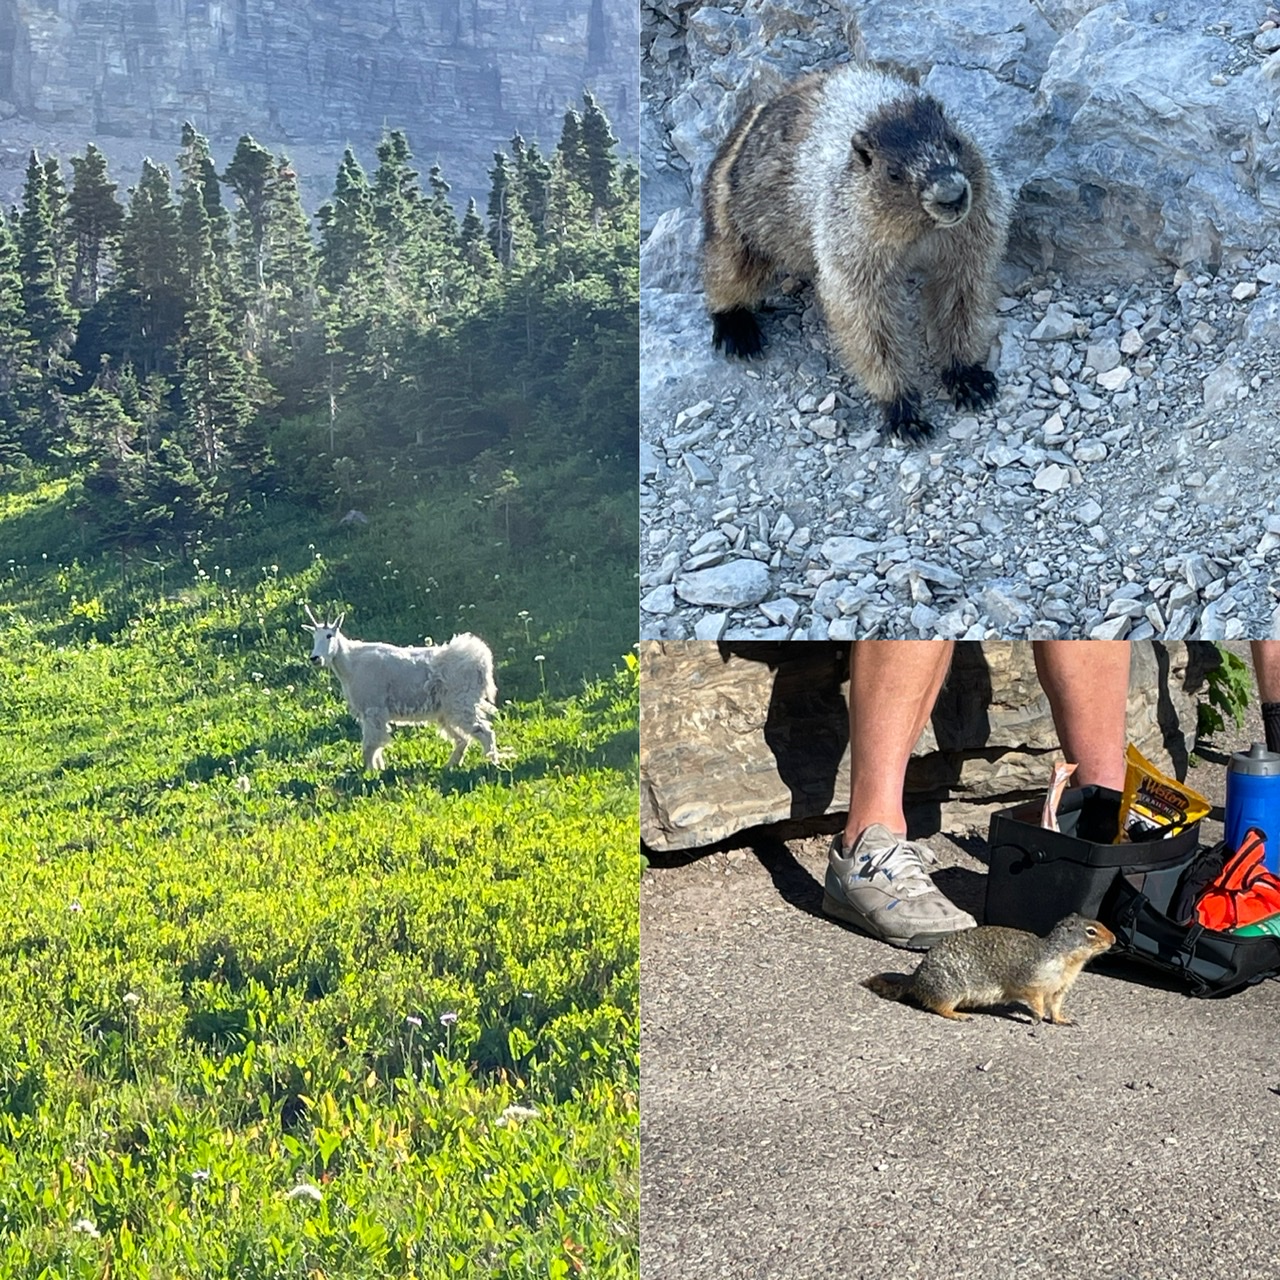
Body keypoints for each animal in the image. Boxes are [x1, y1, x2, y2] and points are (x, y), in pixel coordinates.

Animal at [303, 606, 499, 773]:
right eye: (314, 637)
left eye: (329, 635)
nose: (315, 658)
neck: (350, 663)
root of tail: (481, 662)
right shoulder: (369, 714)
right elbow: (376, 744)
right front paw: (379, 769)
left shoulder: (373, 709)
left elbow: (370, 745)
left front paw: (369, 772)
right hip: (446, 711)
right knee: (463, 739)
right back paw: (451, 765)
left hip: (461, 703)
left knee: (484, 732)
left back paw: (491, 763)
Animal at [701, 66, 1008, 445]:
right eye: (893, 173)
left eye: (955, 142)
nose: (952, 195)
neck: (922, 231)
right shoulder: (851, 240)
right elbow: (867, 316)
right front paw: (904, 411)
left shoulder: (976, 226)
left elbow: (962, 292)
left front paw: (969, 377)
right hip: (736, 223)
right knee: (727, 269)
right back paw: (736, 329)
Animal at [865, 916, 1116, 1024]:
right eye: (1091, 931)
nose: (1114, 939)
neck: (1066, 960)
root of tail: (916, 978)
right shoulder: (1033, 980)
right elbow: (1034, 999)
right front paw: (1036, 1016)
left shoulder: (1059, 990)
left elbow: (1055, 1007)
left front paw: (1063, 1019)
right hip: (950, 988)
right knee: (937, 1006)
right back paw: (959, 1015)